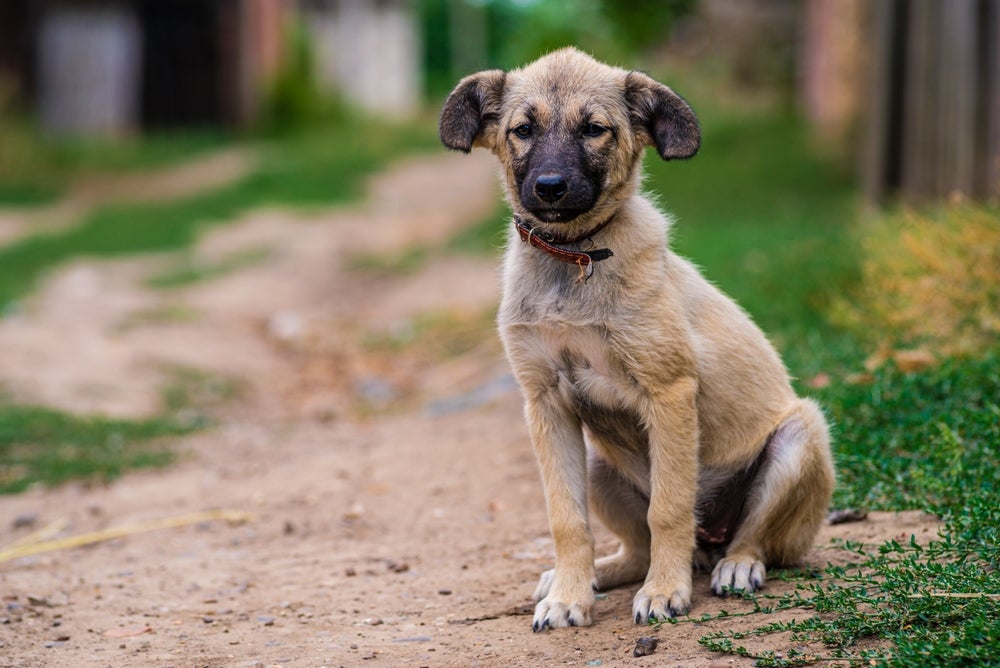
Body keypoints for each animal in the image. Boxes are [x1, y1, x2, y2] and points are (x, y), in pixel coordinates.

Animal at [438, 48, 836, 632]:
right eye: (523, 130)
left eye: (594, 129)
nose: (550, 187)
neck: (574, 259)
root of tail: (709, 545)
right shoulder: (546, 403)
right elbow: (567, 519)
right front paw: (570, 597)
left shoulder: (668, 393)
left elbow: (668, 509)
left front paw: (665, 593)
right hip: (599, 464)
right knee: (637, 549)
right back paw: (589, 576)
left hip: (801, 435)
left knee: (752, 538)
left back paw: (736, 565)